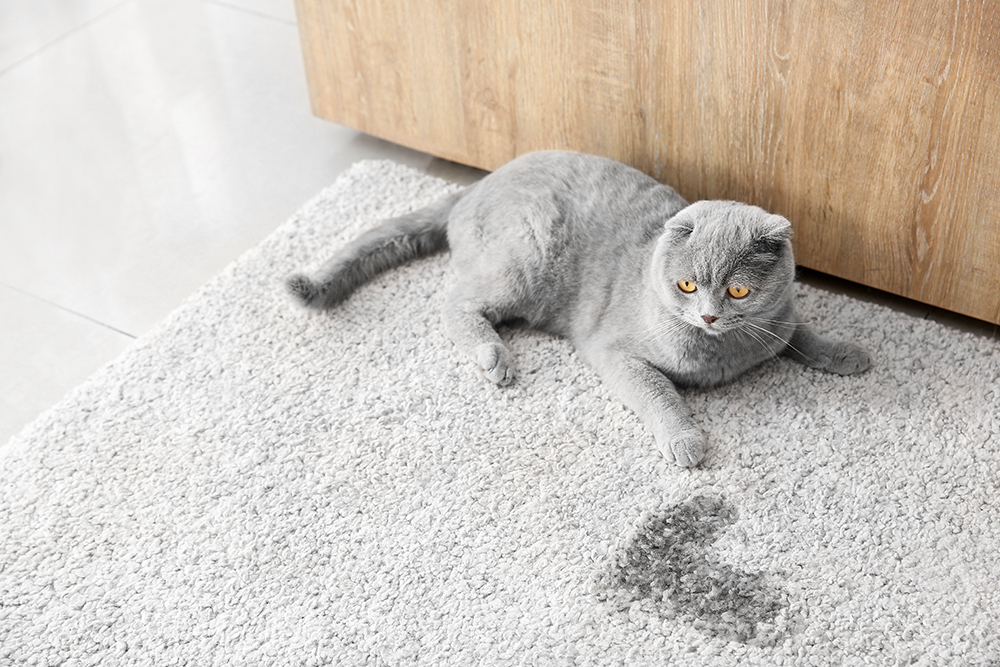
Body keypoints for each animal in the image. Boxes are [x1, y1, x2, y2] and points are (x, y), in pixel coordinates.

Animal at [286, 151, 872, 468]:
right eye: (686, 285)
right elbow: (659, 393)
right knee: (455, 305)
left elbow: (801, 334)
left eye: (738, 293)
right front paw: (683, 439)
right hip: (524, 260)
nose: (706, 315)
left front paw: (847, 352)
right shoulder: (614, 352)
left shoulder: (777, 321)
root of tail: (476, 183)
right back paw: (493, 359)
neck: (719, 352)